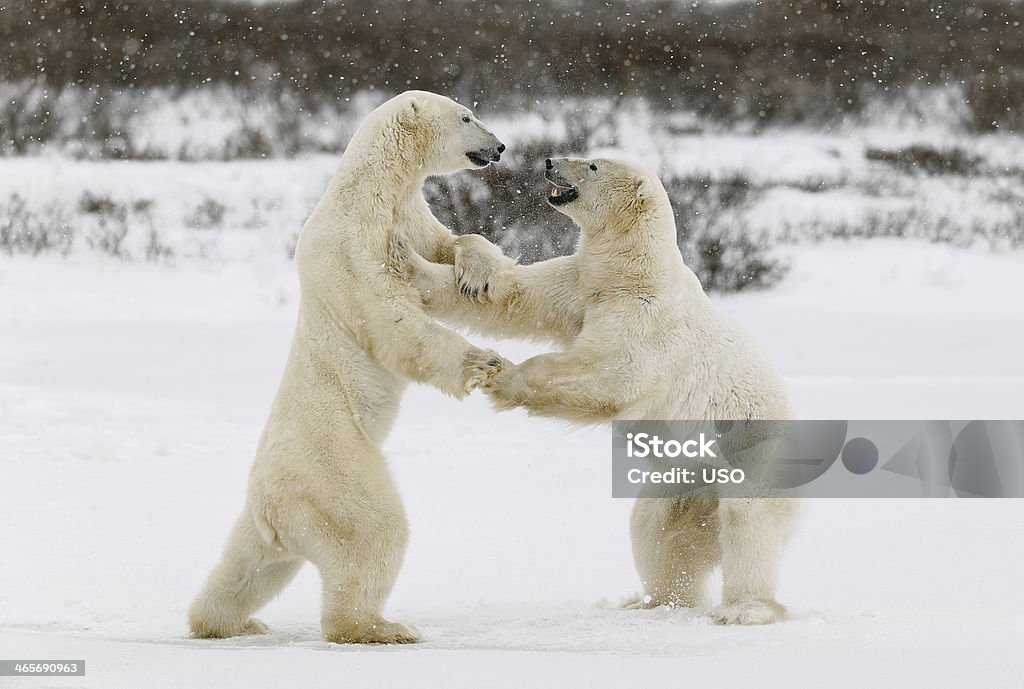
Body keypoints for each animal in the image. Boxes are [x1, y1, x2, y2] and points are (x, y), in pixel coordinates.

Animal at [189, 88, 516, 642]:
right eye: (466, 116)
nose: (499, 146)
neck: (372, 191)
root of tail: (273, 508)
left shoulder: (409, 214)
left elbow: (448, 244)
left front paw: (475, 272)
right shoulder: (352, 246)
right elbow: (391, 319)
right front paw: (484, 360)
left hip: (266, 522)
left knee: (249, 567)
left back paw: (226, 621)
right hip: (334, 474)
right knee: (373, 531)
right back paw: (382, 627)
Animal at [399, 155, 798, 622]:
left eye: (592, 165)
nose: (549, 161)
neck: (633, 271)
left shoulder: (645, 316)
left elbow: (612, 373)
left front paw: (501, 376)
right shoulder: (582, 285)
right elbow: (513, 297)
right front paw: (406, 257)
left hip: (755, 454)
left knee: (748, 524)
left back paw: (743, 609)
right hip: (681, 480)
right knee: (657, 529)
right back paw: (652, 601)